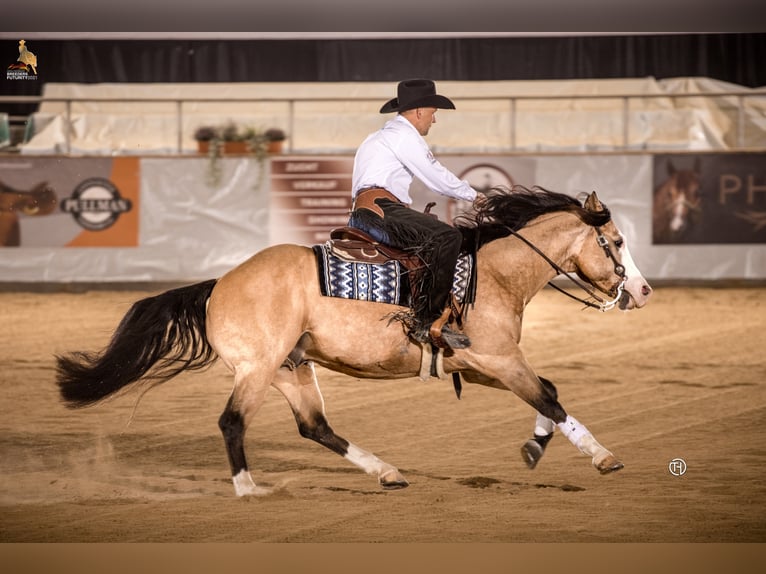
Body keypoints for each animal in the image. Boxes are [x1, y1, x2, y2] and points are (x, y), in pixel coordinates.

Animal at [55, 186, 653, 497]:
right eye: (617, 240)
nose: (642, 291)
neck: (492, 274)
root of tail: (218, 284)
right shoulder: (498, 358)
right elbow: (550, 395)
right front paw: (604, 458)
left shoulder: (481, 364)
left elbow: (546, 393)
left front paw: (535, 446)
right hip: (258, 369)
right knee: (232, 422)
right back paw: (249, 489)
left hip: (293, 367)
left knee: (314, 426)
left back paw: (387, 472)